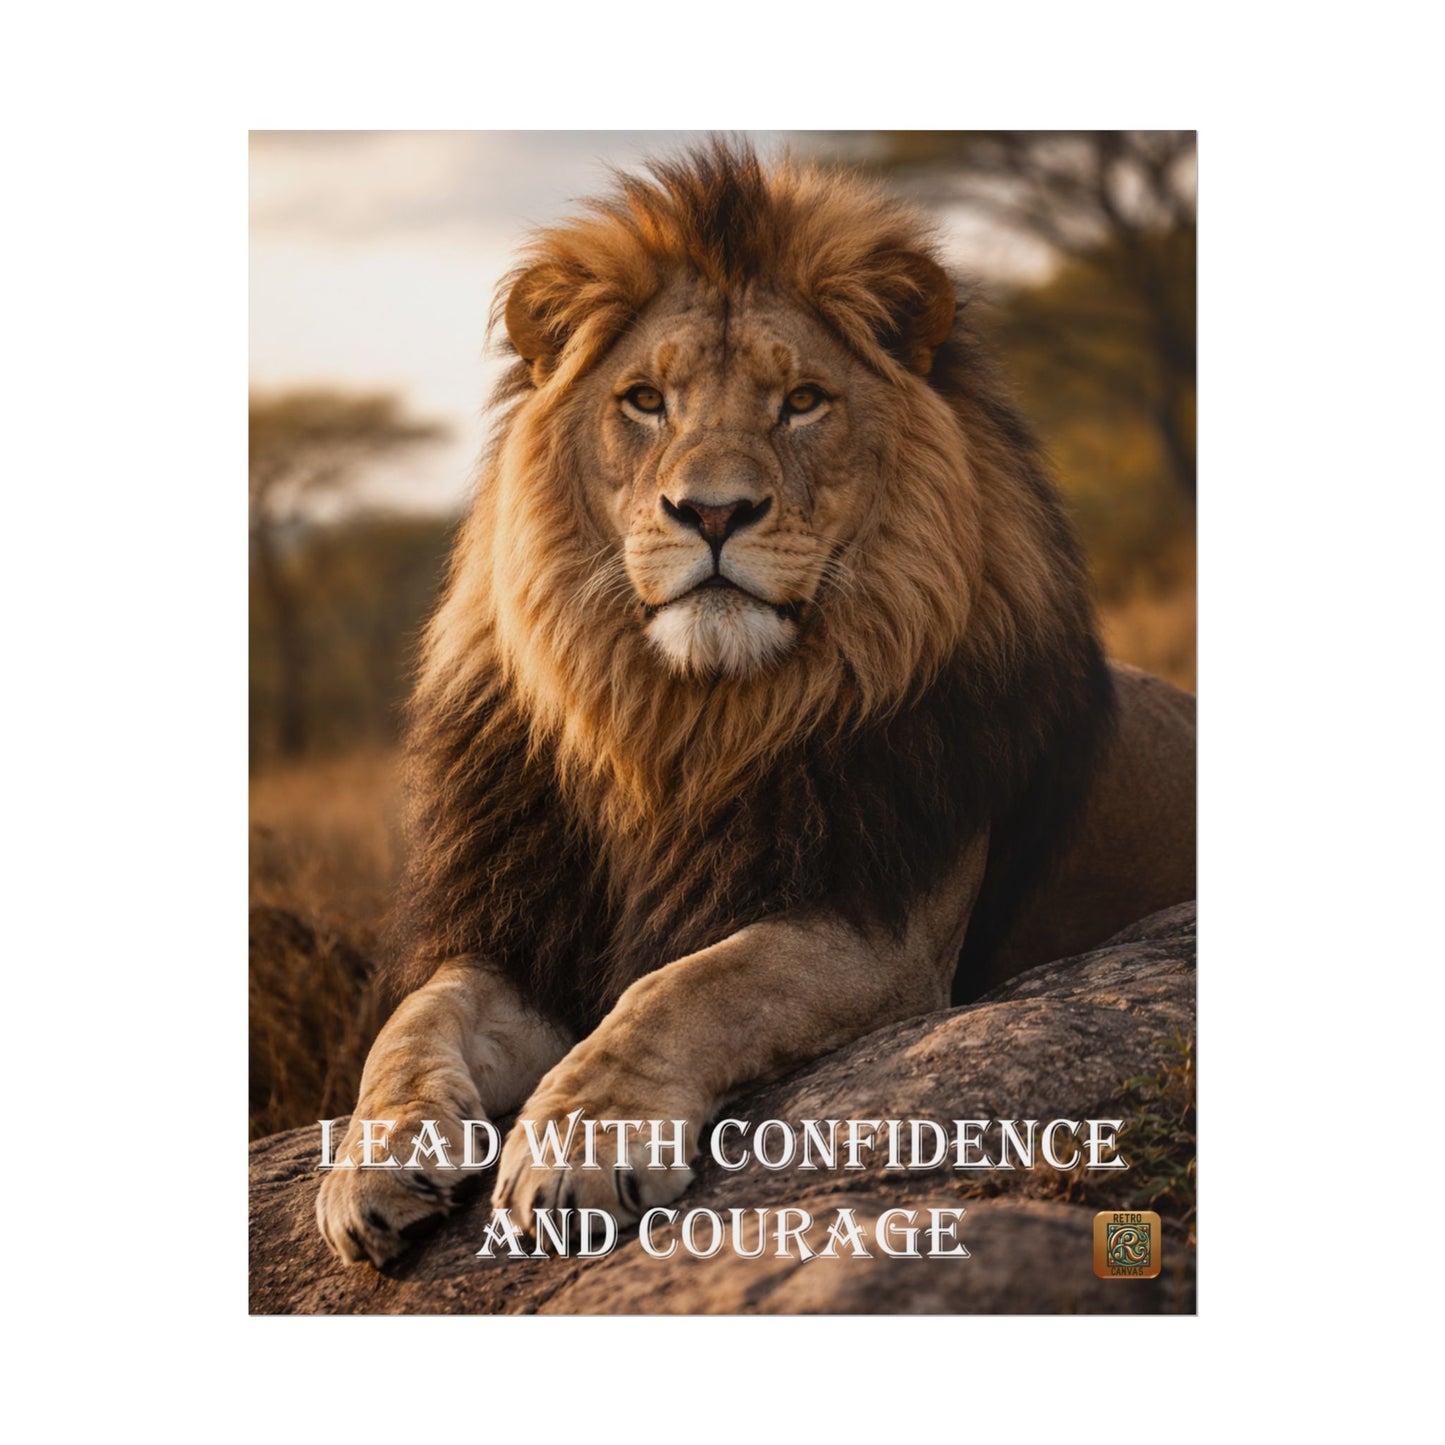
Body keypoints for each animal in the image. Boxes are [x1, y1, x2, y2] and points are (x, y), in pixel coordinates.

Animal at [316, 141, 1195, 1267]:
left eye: (803, 401)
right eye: (646, 400)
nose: (713, 511)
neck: (685, 726)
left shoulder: (879, 928)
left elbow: (689, 984)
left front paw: (577, 1147)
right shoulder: (530, 933)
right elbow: (415, 1017)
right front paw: (370, 1162)